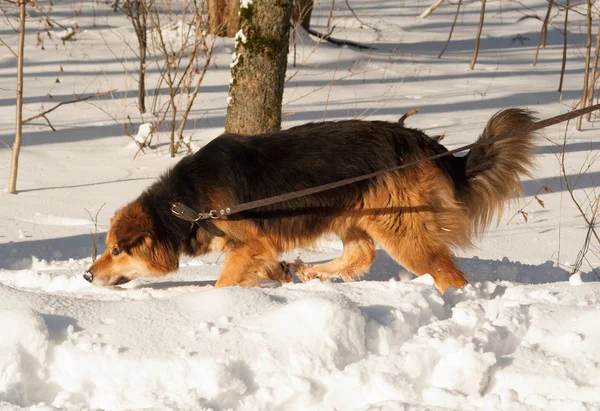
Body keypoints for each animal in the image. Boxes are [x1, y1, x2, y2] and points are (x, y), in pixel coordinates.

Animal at [83, 108, 536, 292]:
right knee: (361, 254)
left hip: (401, 228)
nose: (86, 276)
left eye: (116, 250)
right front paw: (282, 274)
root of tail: (424, 145)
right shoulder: (254, 247)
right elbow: (263, 266)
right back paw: (310, 271)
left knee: (447, 275)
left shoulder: (251, 243)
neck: (184, 203)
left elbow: (223, 281)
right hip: (358, 214)